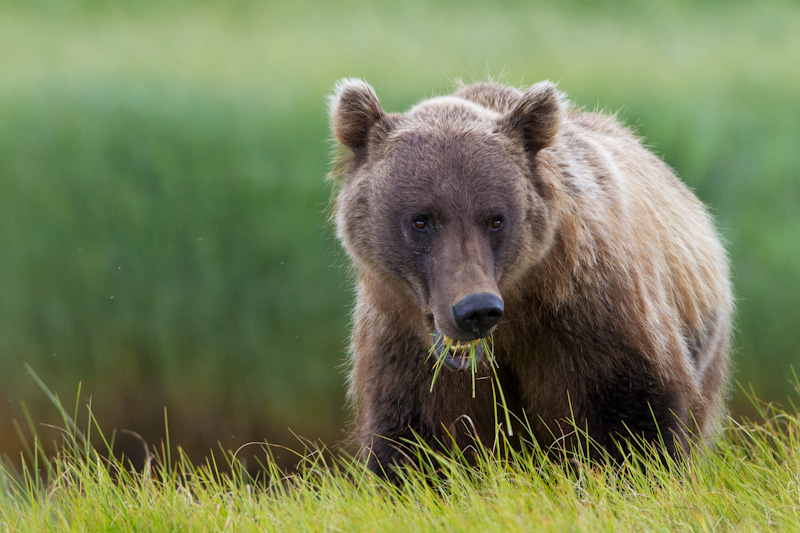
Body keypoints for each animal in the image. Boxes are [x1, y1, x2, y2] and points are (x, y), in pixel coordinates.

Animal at [324, 76, 732, 478]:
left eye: (496, 219)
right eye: (421, 221)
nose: (475, 309)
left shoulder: (588, 310)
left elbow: (631, 416)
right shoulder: (401, 342)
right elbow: (412, 443)